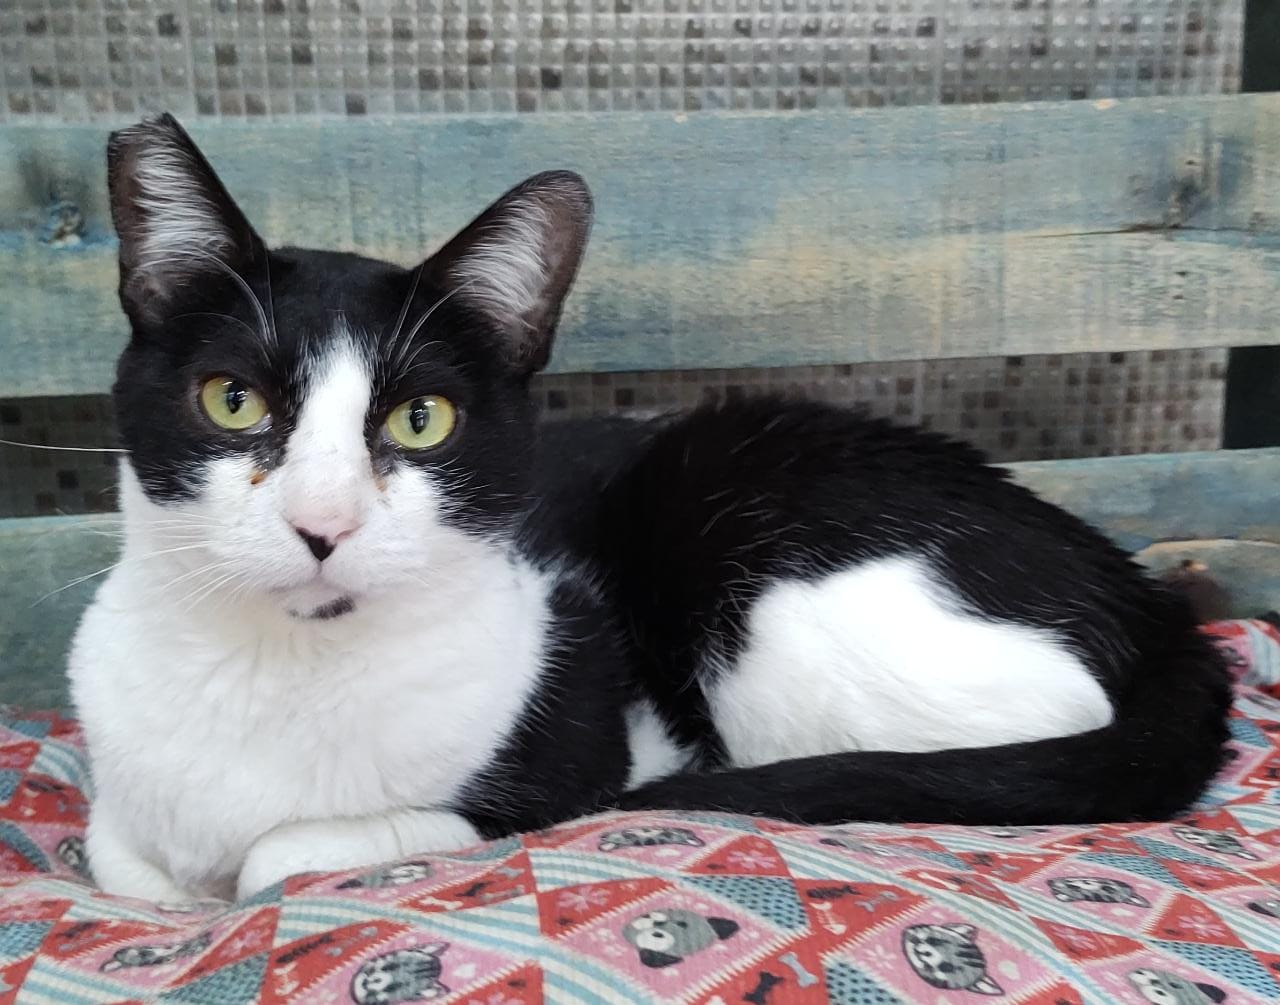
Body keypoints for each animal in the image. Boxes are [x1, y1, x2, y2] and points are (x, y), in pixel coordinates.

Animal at [70, 115, 1228, 901]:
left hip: (771, 599)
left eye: (420, 421)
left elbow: (282, 853)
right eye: (233, 400)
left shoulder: (575, 751)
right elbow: (120, 856)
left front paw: (259, 857)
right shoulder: (117, 810)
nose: (323, 524)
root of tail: (1149, 601)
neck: (272, 670)